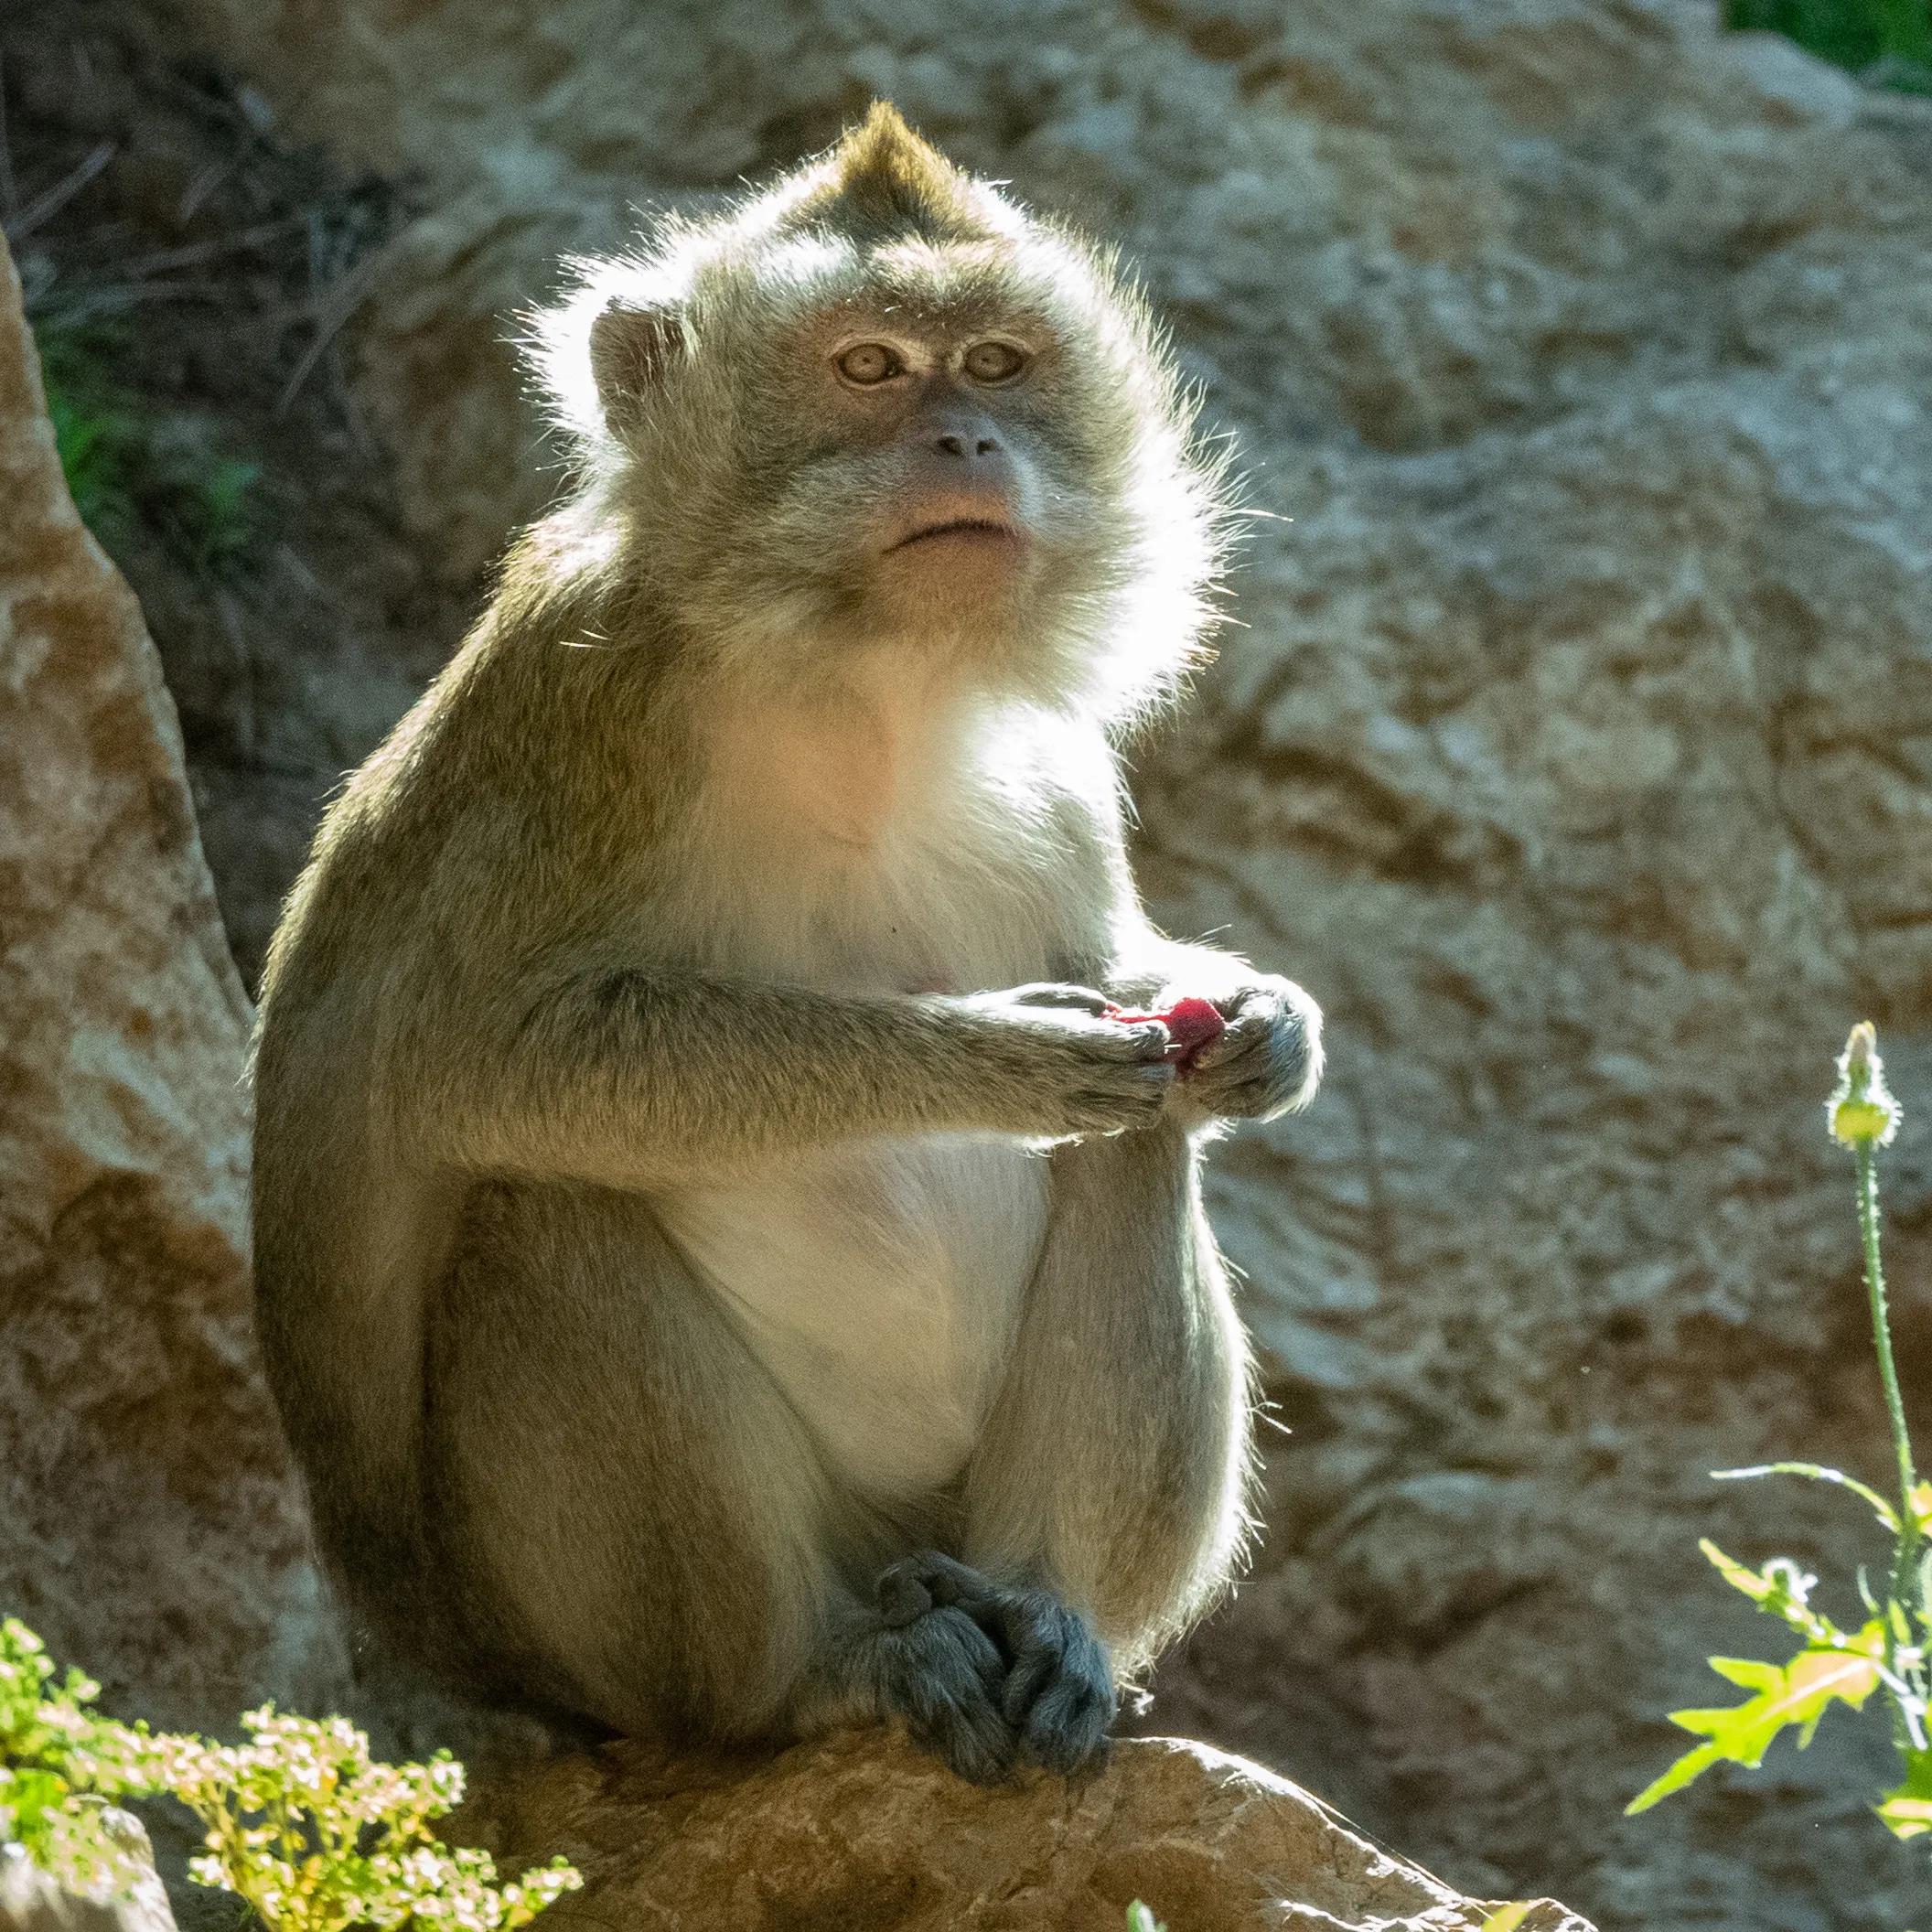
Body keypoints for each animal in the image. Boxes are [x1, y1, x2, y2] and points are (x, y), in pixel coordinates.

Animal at [249, 102, 1322, 1785]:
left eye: (997, 362)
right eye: (870, 367)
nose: (967, 441)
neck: (858, 681)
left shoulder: (1058, 766)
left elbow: (1142, 990)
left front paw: (1265, 1023)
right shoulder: (587, 710)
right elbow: (469, 1062)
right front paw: (999, 1057)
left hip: (942, 1528)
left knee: (1146, 1141)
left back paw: (1052, 1619)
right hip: (582, 1644)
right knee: (537, 1206)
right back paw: (810, 1677)